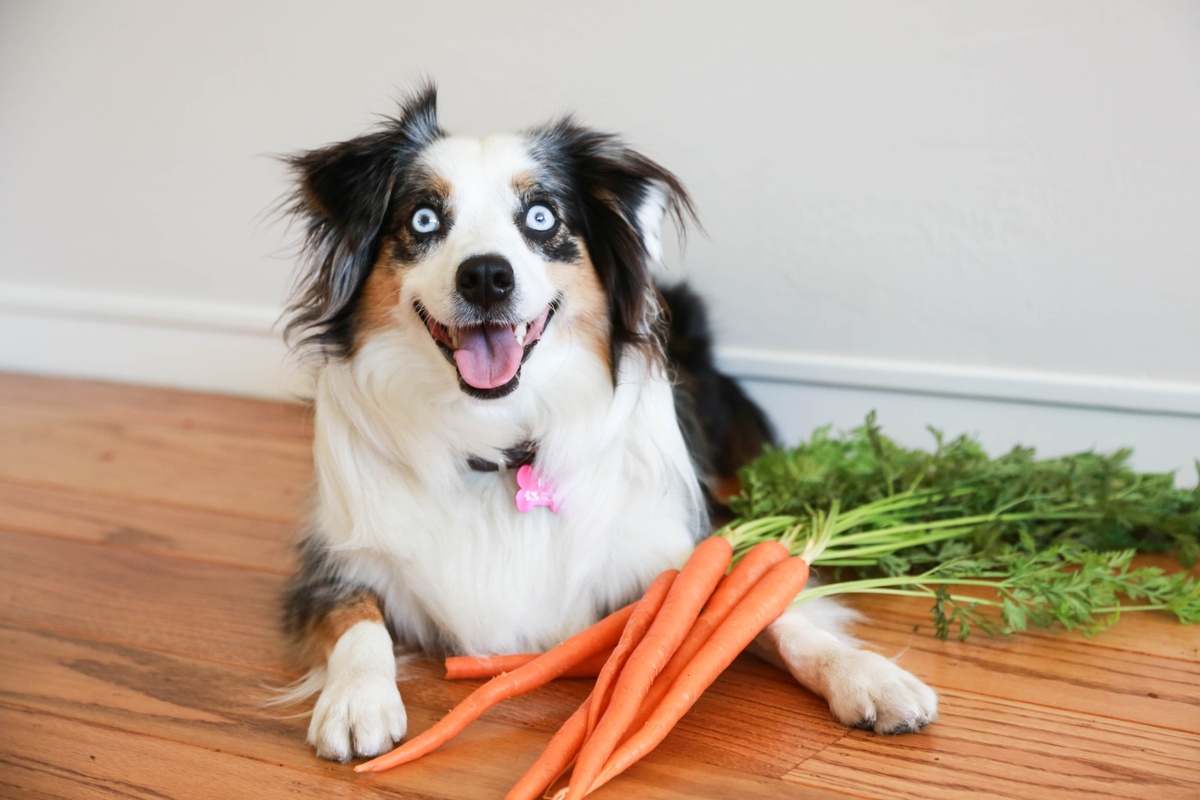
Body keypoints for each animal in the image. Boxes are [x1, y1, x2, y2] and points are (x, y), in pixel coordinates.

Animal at [278, 84, 936, 762]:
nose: (486, 276)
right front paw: (356, 700)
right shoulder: (332, 562)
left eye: (542, 218)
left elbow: (768, 608)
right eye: (424, 220)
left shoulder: (671, 552)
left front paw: (868, 676)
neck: (498, 443)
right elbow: (355, 620)